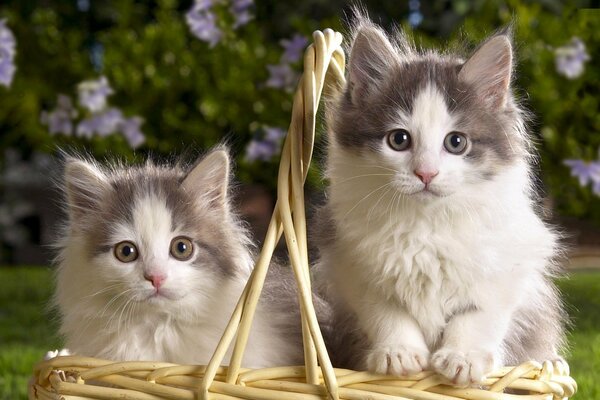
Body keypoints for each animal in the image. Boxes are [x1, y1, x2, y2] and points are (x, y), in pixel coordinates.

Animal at [318, 19, 568, 388]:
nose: (426, 173)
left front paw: (462, 358)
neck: (426, 224)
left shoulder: (508, 268)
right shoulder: (355, 266)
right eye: (399, 139)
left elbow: (477, 314)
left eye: (456, 142)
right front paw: (398, 353)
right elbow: (387, 312)